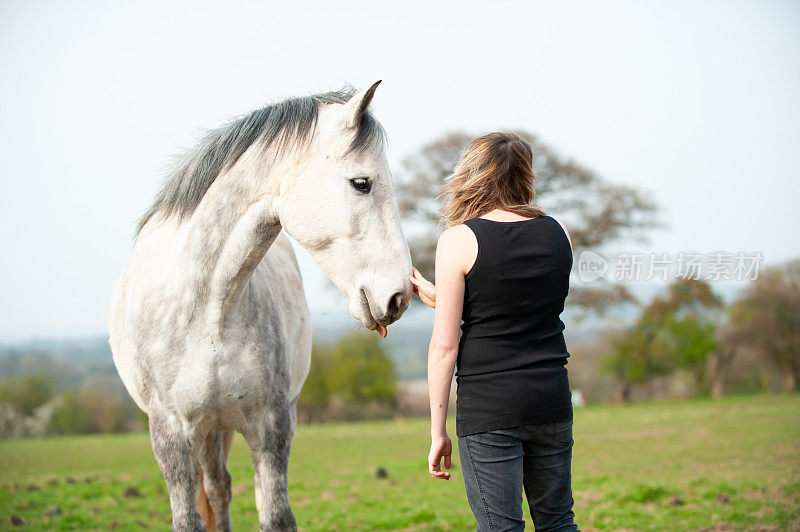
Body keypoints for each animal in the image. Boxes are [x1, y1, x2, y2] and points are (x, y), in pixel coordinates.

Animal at [108, 81, 410, 528]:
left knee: (218, 488)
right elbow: (188, 519)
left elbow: (276, 516)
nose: (399, 295)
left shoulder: (272, 428)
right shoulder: (169, 435)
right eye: (361, 183)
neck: (210, 312)